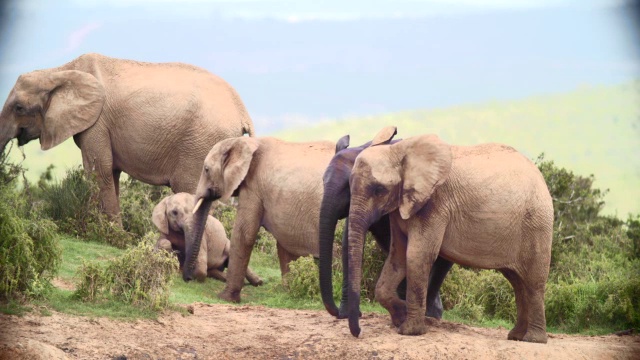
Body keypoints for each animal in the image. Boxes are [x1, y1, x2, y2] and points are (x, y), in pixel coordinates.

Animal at [0, 52, 255, 222]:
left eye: (19, 108)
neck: (58, 72)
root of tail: (243, 111)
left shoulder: (98, 121)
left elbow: (98, 170)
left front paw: (109, 235)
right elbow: (110, 172)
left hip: (202, 145)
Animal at [185, 136, 336, 304]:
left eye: (206, 169)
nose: (188, 279)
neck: (247, 142)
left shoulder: (253, 187)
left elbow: (244, 234)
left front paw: (226, 298)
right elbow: (284, 246)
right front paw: (288, 291)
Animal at [318, 134, 452, 320]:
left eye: (347, 187)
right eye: (323, 181)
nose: (336, 312)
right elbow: (348, 244)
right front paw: (347, 315)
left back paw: (429, 314)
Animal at [348, 126, 552, 344]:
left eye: (379, 190)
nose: (359, 332)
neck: (401, 150)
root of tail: (542, 180)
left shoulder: (434, 204)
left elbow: (417, 256)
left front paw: (409, 331)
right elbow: (398, 257)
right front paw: (400, 316)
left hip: (537, 225)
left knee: (533, 282)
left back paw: (534, 340)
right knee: (517, 281)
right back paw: (516, 336)